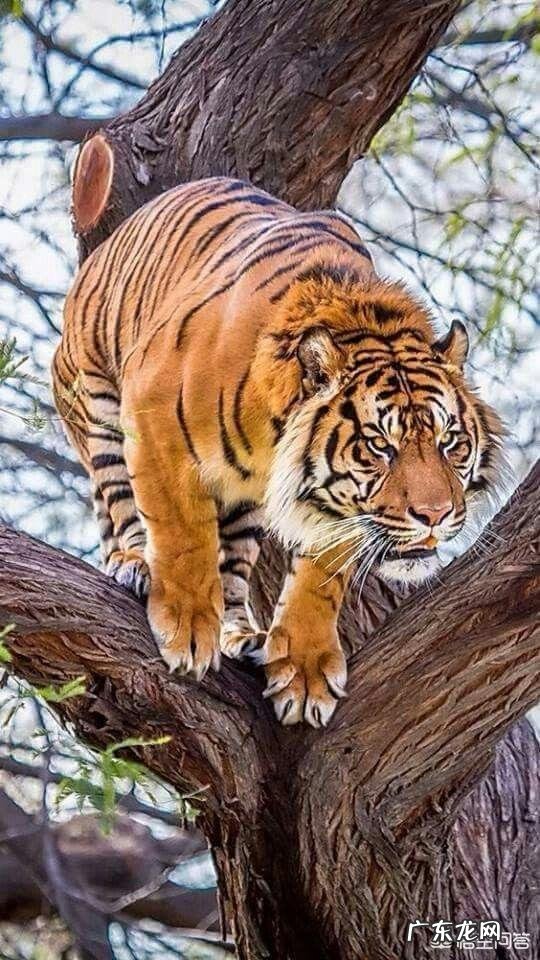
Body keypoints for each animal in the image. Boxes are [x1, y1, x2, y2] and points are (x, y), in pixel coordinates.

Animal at [52, 176, 504, 727]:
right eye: (380, 445)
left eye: (449, 442)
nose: (435, 515)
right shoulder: (152, 416)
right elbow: (182, 533)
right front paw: (186, 627)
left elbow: (320, 577)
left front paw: (304, 672)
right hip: (95, 401)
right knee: (120, 504)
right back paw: (136, 564)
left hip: (245, 504)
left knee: (232, 569)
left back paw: (242, 634)